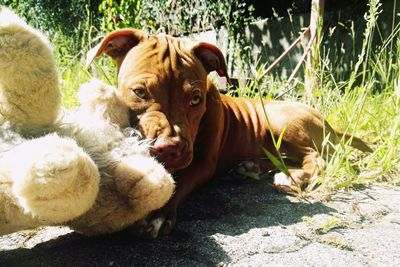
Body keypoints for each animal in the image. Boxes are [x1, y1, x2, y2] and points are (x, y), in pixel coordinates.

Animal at [88, 28, 372, 239]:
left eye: (195, 99)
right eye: (139, 92)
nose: (170, 149)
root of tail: (328, 123)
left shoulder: (203, 163)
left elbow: (180, 182)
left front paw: (155, 212)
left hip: (282, 123)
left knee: (317, 158)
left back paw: (291, 177)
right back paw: (250, 167)